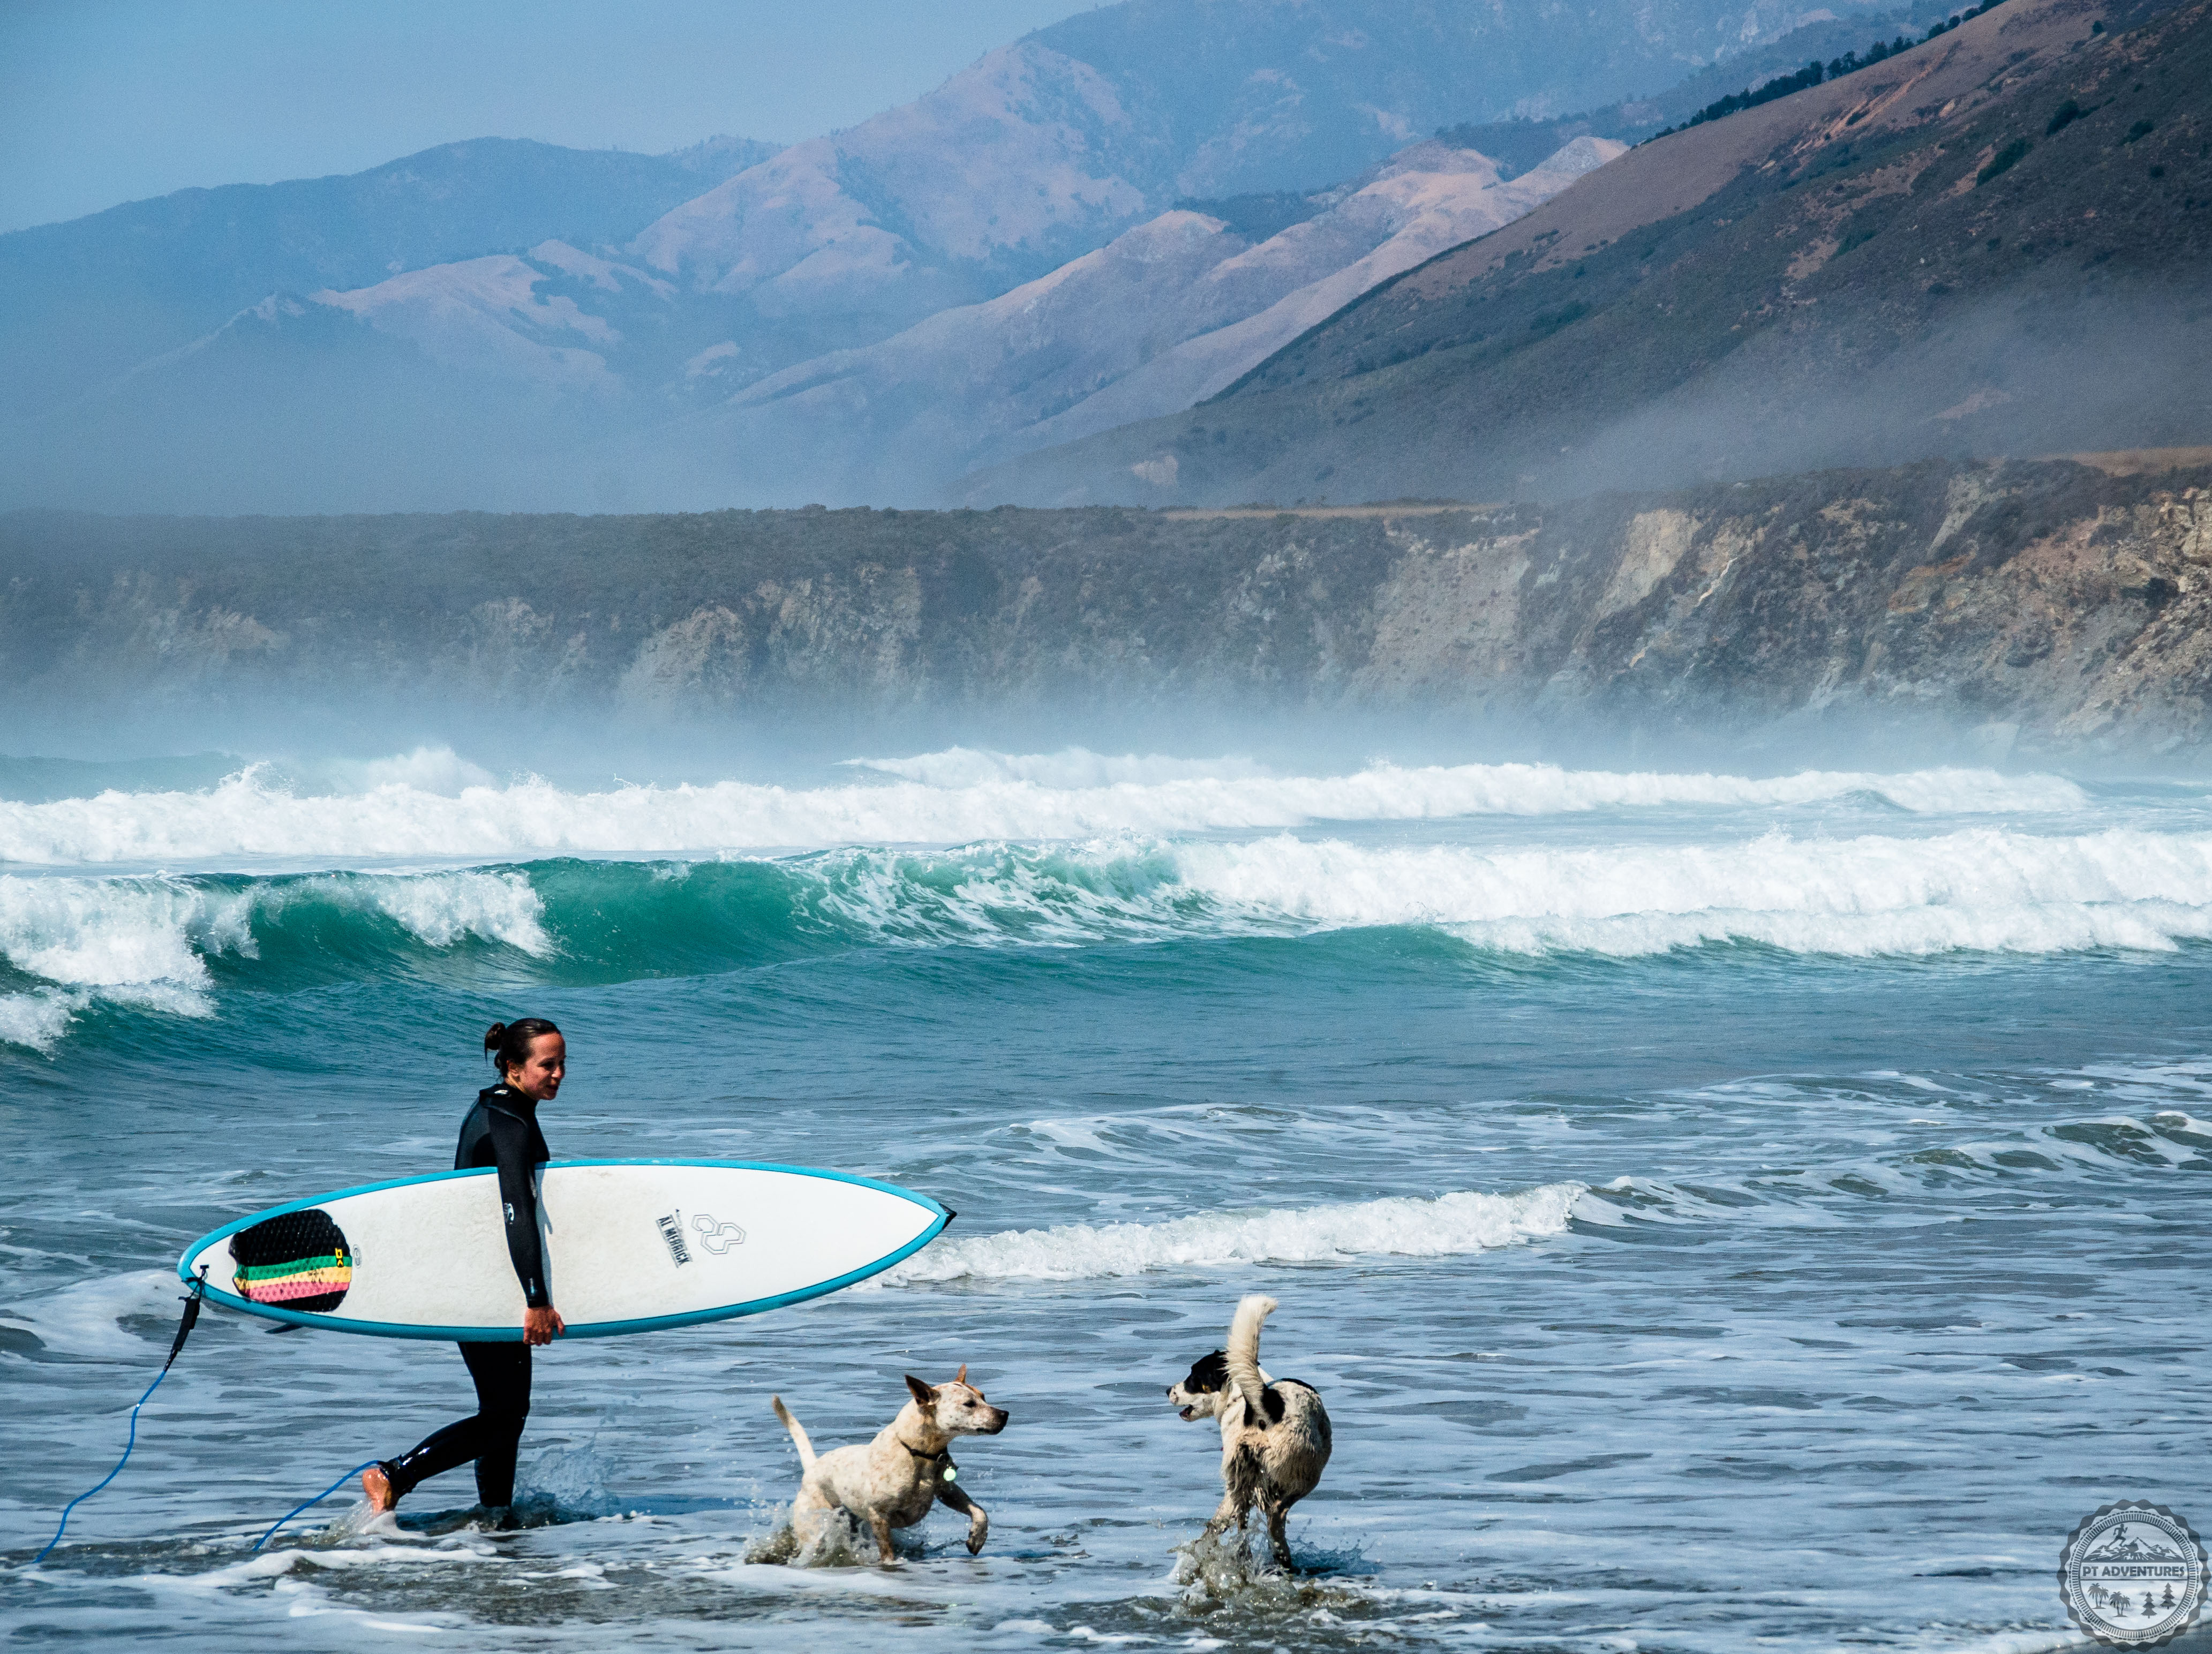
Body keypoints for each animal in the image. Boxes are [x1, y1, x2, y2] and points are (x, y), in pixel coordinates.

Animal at [770, 1371, 1013, 1565]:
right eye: (969, 1404)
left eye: (983, 1397)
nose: (1005, 1414)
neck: (919, 1454)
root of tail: (813, 1466)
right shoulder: (879, 1514)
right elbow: (886, 1549)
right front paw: (891, 1563)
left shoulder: (947, 1491)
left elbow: (979, 1511)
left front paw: (976, 1538)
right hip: (815, 1521)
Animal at [1177, 1300, 1327, 1574]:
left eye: (1193, 1377)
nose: (1167, 1391)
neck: (1237, 1394)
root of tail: (1267, 1403)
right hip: (1303, 1477)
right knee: (1274, 1518)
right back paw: (1278, 1554)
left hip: (1243, 1476)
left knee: (1238, 1518)